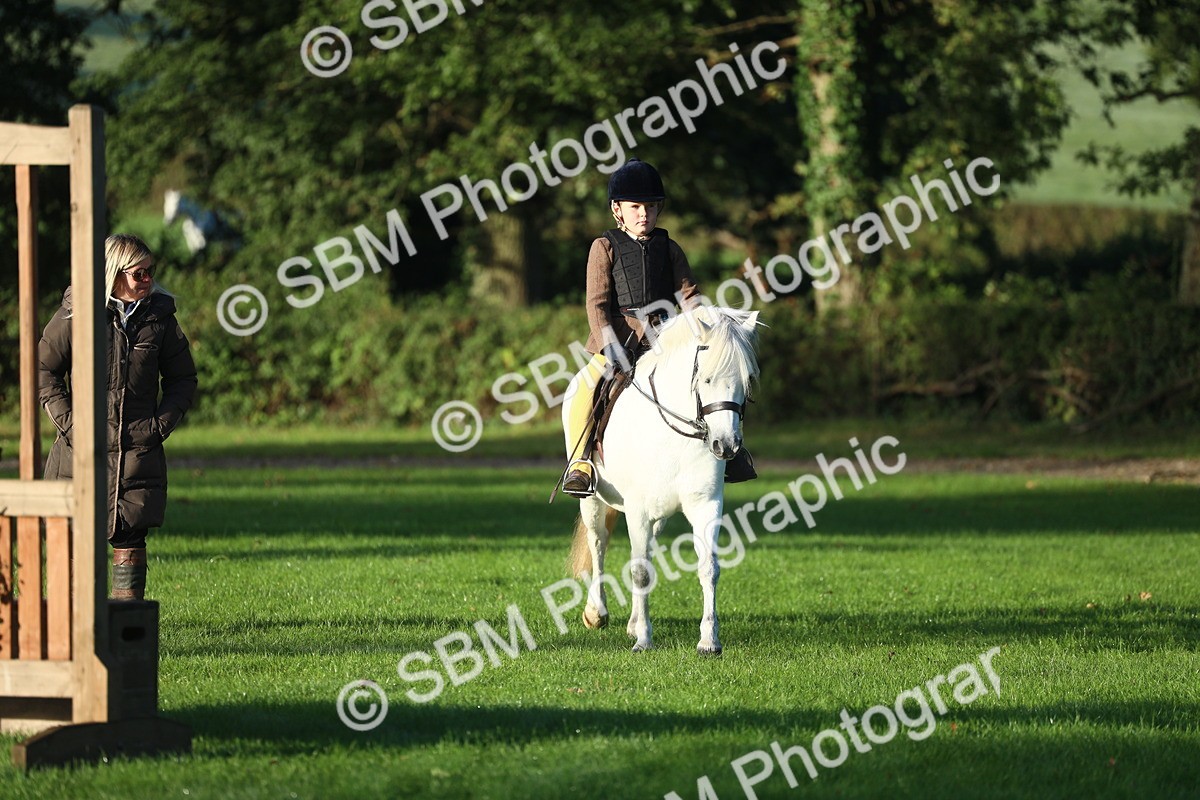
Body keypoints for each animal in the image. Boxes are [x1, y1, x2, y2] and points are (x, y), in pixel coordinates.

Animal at [564, 306, 761, 655]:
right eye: (706, 378)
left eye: (746, 380)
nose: (726, 445)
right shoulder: (638, 510)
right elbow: (639, 571)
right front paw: (644, 639)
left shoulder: (705, 505)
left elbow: (708, 567)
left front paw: (709, 640)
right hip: (593, 500)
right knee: (598, 543)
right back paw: (596, 612)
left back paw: (631, 622)